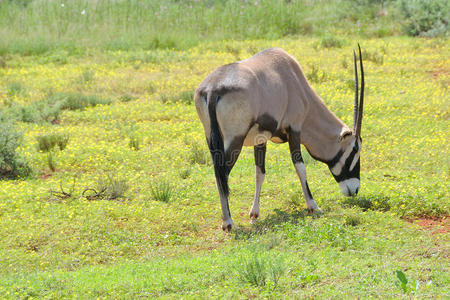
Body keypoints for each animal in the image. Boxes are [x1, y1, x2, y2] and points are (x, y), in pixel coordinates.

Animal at [195, 45, 364, 231]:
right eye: (355, 150)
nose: (354, 190)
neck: (294, 80)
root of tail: (212, 90)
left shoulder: (260, 138)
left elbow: (259, 173)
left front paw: (254, 215)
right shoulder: (295, 129)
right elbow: (300, 167)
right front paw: (313, 206)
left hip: (212, 139)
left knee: (219, 174)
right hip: (235, 140)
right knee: (223, 174)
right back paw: (228, 223)